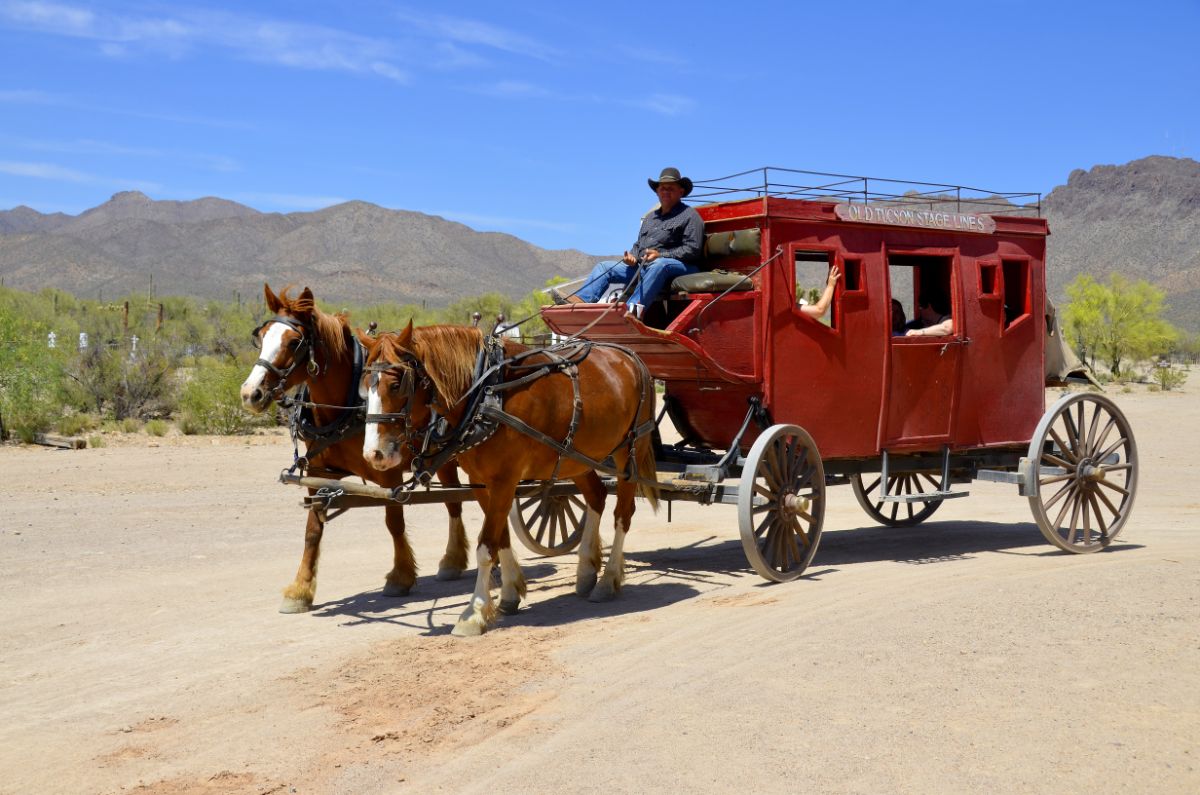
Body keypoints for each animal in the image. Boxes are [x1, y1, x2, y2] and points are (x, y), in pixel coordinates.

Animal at [238, 287, 468, 614]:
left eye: (294, 342)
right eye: (261, 336)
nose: (250, 393)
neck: (344, 409)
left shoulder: (388, 474)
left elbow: (394, 522)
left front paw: (400, 576)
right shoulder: (317, 473)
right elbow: (312, 529)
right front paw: (300, 589)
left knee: (455, 502)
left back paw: (452, 560)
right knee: (455, 501)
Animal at [357, 321, 657, 638]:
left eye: (396, 385)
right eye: (365, 387)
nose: (374, 454)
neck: (487, 393)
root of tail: (631, 357)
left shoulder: (505, 480)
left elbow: (486, 546)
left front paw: (473, 613)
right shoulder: (482, 483)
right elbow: (500, 538)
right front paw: (510, 593)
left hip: (630, 452)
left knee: (623, 514)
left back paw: (608, 580)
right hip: (578, 457)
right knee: (597, 498)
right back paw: (587, 571)